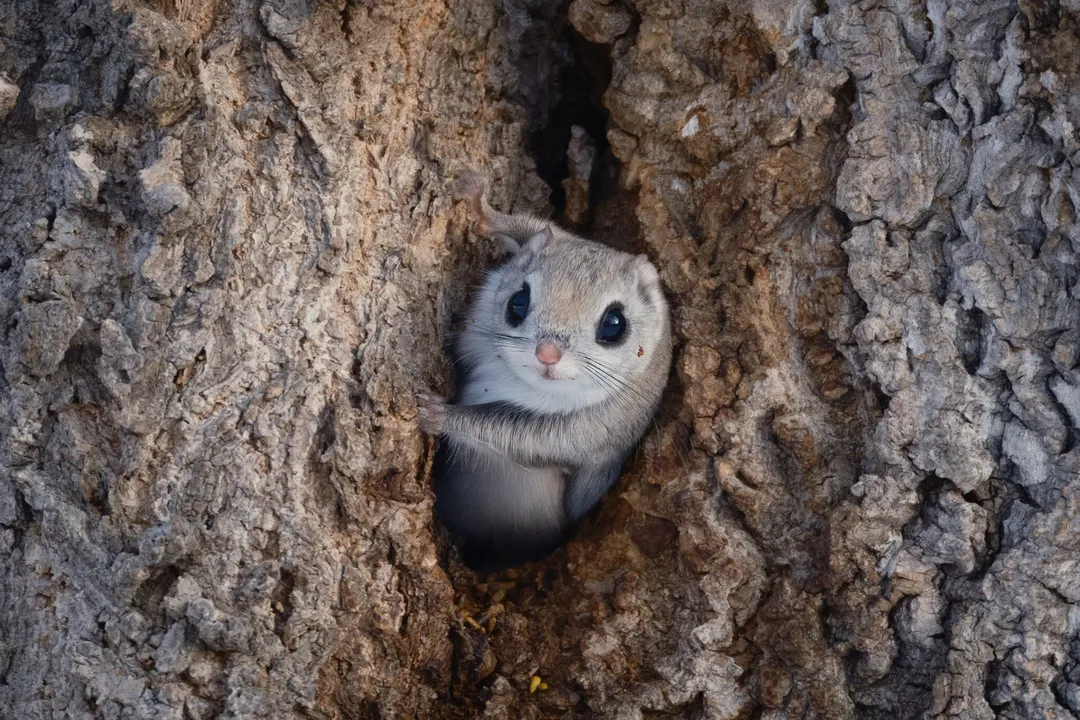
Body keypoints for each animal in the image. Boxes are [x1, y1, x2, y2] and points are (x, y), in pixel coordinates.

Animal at [417, 168, 672, 570]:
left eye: (614, 324)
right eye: (517, 302)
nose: (547, 353)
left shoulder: (590, 432)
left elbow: (513, 434)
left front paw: (439, 414)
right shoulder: (561, 237)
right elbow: (531, 226)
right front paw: (478, 203)